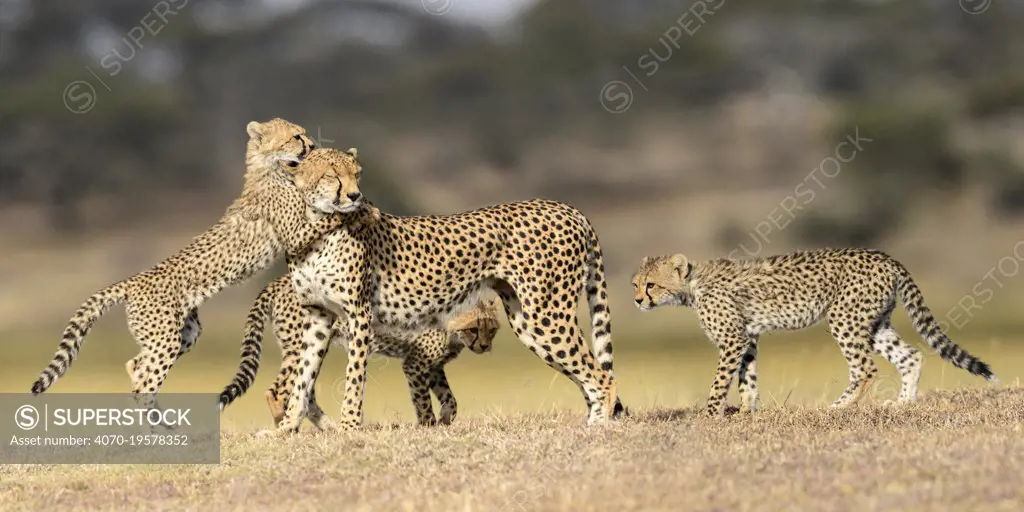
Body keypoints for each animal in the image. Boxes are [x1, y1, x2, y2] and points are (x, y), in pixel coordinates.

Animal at [29, 117, 376, 415]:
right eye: (296, 136)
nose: (313, 143)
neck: (271, 168)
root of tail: (134, 280)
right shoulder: (296, 234)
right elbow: (332, 215)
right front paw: (362, 209)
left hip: (185, 333)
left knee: (136, 366)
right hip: (164, 339)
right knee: (144, 383)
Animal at [218, 274, 501, 430]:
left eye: (492, 329)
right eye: (474, 328)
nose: (485, 347)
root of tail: (277, 281)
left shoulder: (433, 366)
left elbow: (450, 398)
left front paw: (445, 419)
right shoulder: (415, 363)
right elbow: (422, 400)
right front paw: (428, 424)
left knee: (305, 392)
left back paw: (327, 427)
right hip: (301, 347)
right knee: (278, 391)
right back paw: (286, 426)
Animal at [626, 247, 995, 415]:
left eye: (652, 285)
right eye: (635, 284)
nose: (637, 300)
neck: (692, 285)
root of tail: (884, 256)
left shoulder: (733, 338)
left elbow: (720, 382)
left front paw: (711, 414)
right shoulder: (748, 338)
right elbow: (747, 378)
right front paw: (746, 412)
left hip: (844, 318)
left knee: (865, 368)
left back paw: (840, 406)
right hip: (874, 322)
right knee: (911, 356)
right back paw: (902, 403)